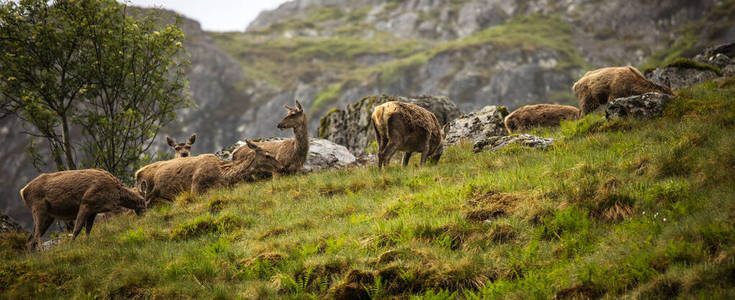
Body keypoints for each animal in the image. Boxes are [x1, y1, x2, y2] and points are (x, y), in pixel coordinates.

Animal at [139, 140, 284, 205]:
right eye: (267, 155)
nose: (281, 167)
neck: (221, 174)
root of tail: (137, 173)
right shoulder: (195, 186)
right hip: (146, 193)